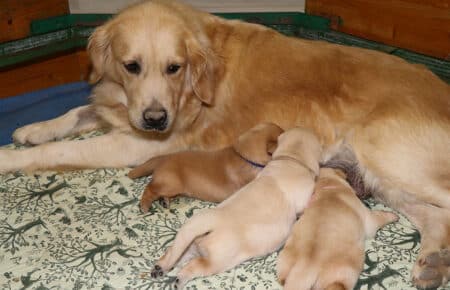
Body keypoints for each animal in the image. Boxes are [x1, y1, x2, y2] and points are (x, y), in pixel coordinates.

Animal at [127, 121, 282, 212]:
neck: (244, 156)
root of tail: (164, 157)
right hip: (171, 183)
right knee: (150, 188)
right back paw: (144, 205)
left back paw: (165, 201)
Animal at [149, 128, 322, 288]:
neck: (291, 159)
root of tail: (207, 224)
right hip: (216, 260)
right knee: (193, 266)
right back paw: (179, 279)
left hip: (190, 243)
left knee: (175, 254)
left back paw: (159, 268)